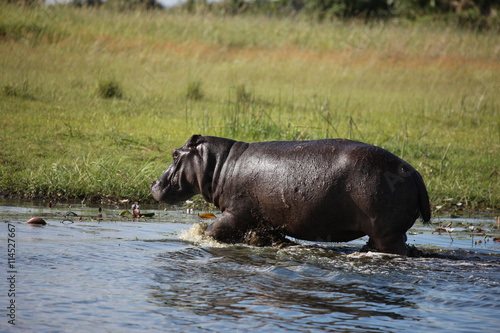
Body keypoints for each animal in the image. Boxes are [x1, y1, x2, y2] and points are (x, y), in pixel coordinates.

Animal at [149, 135, 430, 254]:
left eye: (174, 154)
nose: (153, 183)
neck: (220, 165)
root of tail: (413, 171)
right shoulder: (268, 221)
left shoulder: (236, 213)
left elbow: (213, 230)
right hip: (383, 232)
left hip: (388, 233)